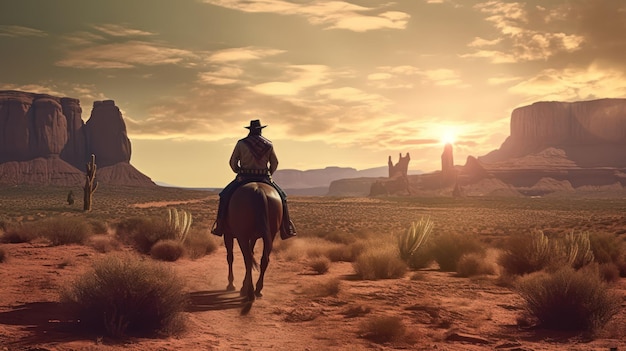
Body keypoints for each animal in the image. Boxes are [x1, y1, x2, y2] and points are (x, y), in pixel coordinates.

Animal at [223, 183, 282, 314]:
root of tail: (258, 190)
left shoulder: (228, 234)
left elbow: (230, 257)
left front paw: (231, 283)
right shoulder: (253, 237)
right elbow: (251, 252)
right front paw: (242, 285)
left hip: (242, 235)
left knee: (248, 260)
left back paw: (250, 293)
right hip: (271, 234)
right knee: (263, 260)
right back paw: (257, 290)